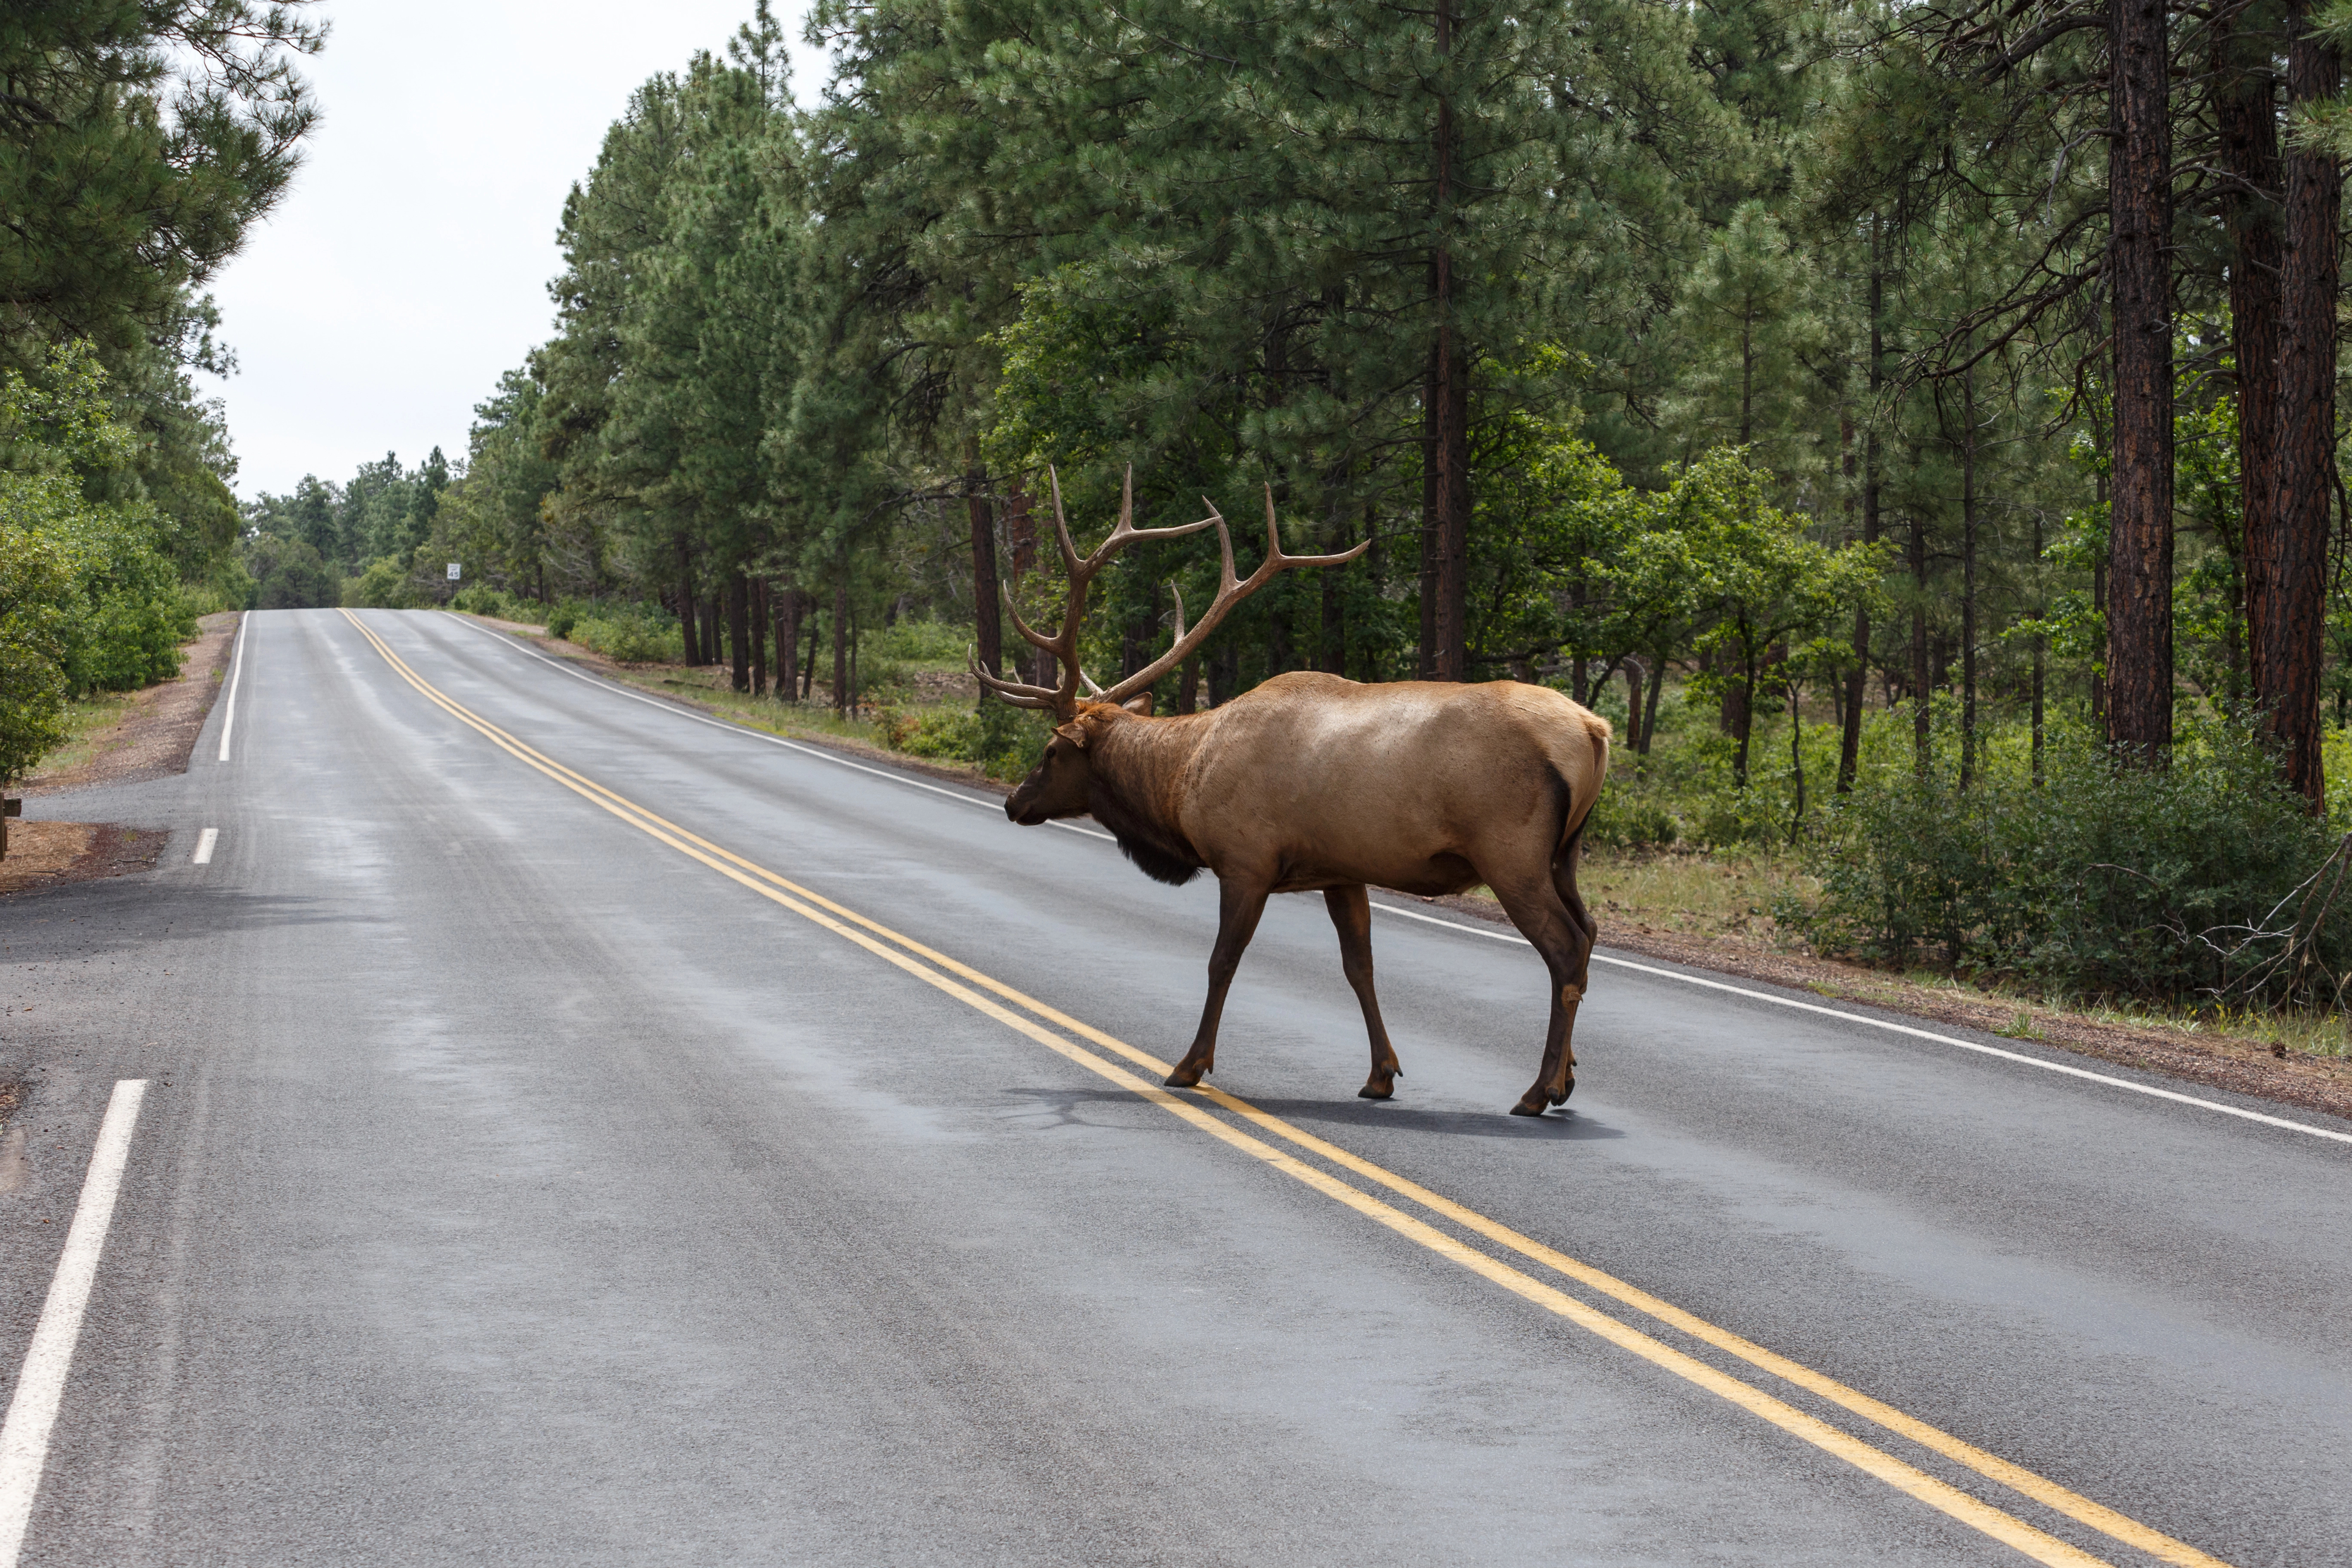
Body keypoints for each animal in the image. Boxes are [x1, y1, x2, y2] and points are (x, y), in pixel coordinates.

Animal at [975, 470, 1611, 1116]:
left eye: (1051, 751)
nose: (1013, 803)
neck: (1181, 784)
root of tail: (1594, 730)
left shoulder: (1246, 861)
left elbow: (1222, 961)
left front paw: (1189, 1065)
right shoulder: (1340, 870)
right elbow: (1360, 968)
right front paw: (1380, 1074)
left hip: (1511, 854)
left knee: (1564, 949)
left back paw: (1537, 1091)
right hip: (1563, 855)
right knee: (1588, 934)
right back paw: (1565, 1078)